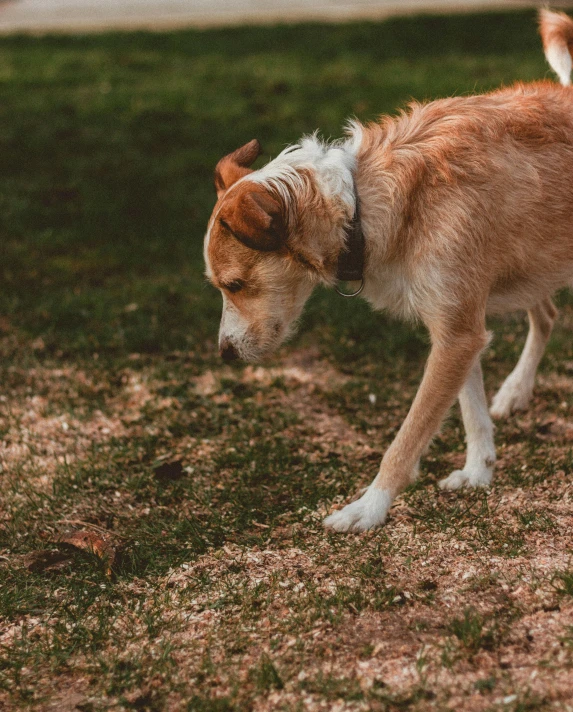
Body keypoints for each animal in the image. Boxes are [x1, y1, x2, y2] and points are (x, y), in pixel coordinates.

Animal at [203, 11, 572, 532]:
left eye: (234, 285)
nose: (225, 354)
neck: (358, 203)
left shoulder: (457, 333)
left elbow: (408, 437)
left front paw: (369, 507)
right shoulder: (458, 325)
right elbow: (471, 410)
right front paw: (479, 470)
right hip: (530, 264)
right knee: (547, 314)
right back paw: (516, 392)